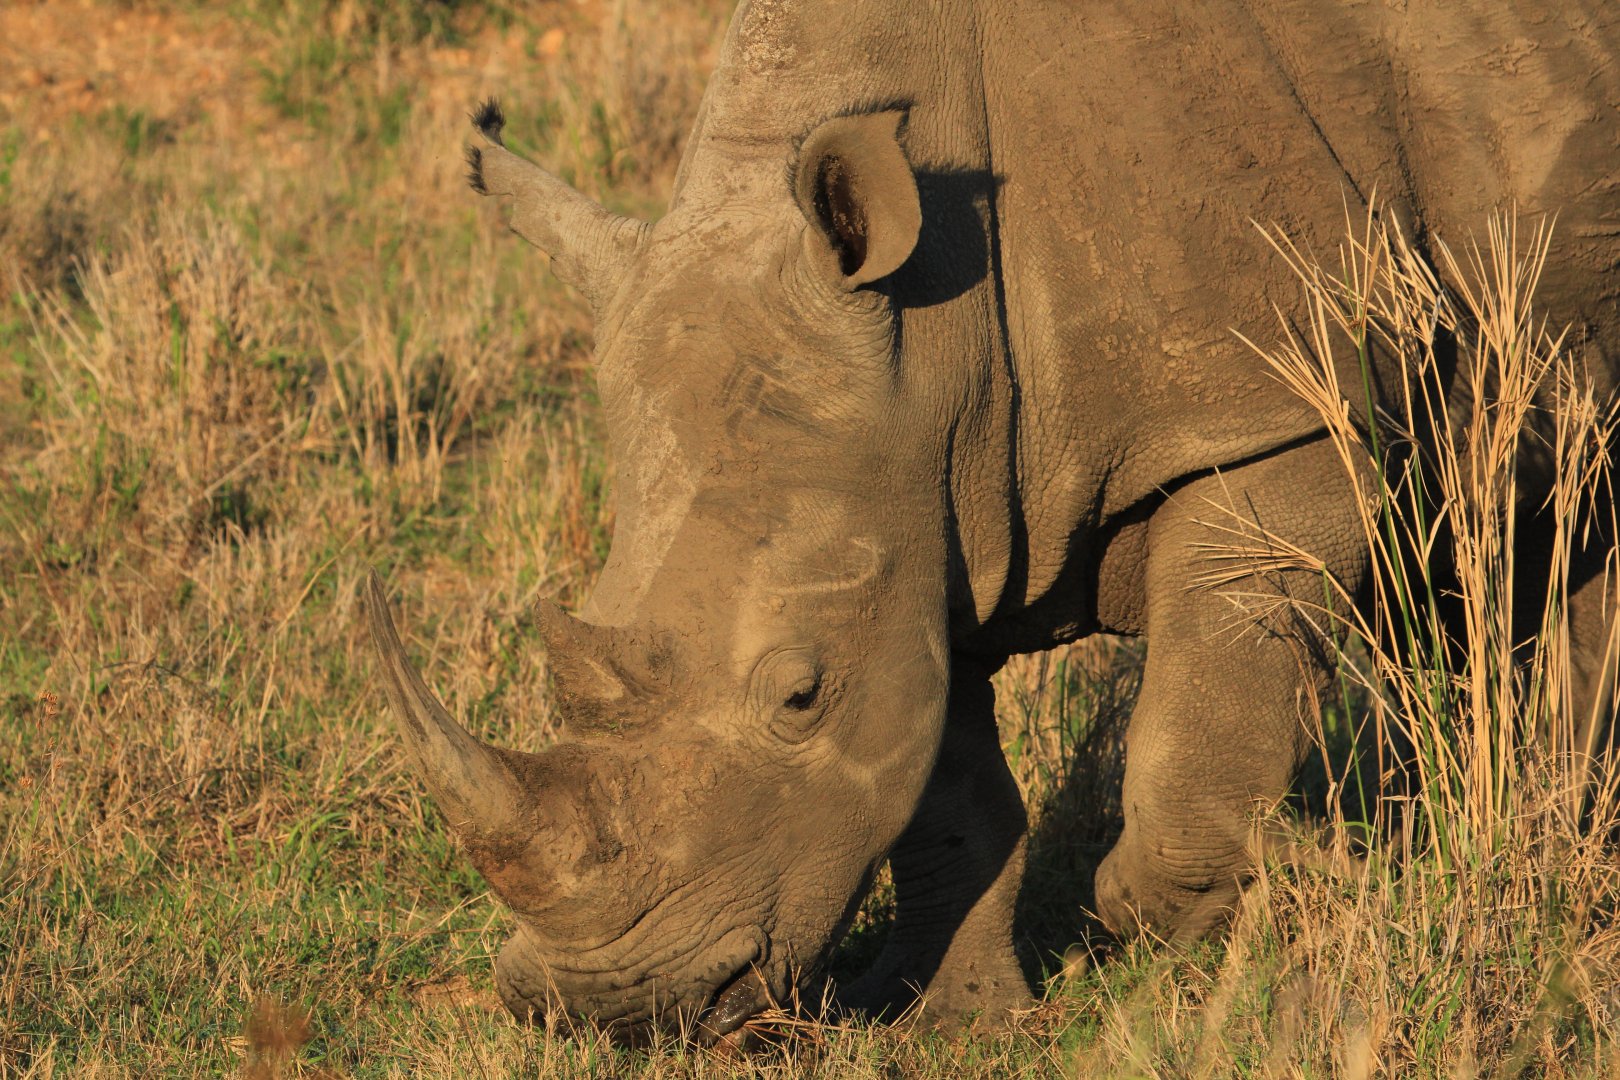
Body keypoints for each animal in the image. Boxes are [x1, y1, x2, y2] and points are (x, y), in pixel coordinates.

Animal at [365, 0, 1620, 1040]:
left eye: (798, 697)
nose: (612, 1007)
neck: (936, 342)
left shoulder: (1271, 414)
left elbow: (1194, 744)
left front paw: (1192, 939)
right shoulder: (912, 517)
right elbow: (946, 791)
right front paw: (952, 1020)